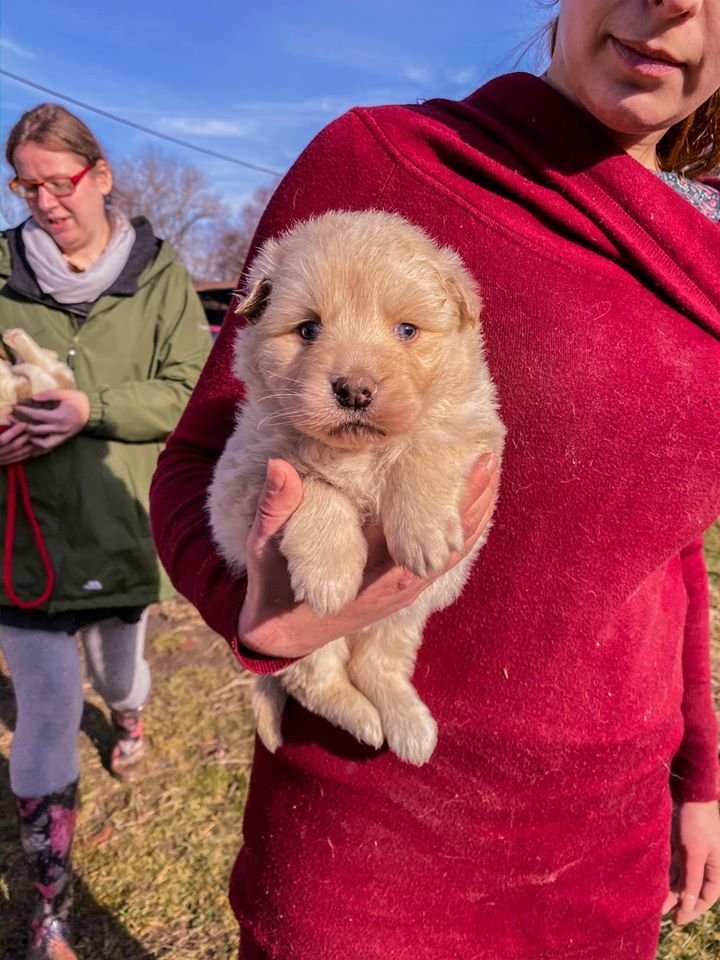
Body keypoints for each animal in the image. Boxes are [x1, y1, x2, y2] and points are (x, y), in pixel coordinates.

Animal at [205, 210, 504, 764]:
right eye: (308, 329)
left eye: (406, 330)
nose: (354, 389)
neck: (359, 452)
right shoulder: (248, 469)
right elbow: (315, 482)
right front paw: (330, 574)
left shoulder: (474, 430)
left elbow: (423, 445)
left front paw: (424, 535)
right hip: (306, 642)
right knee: (315, 681)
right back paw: (365, 721)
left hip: (406, 614)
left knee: (377, 666)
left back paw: (408, 726)